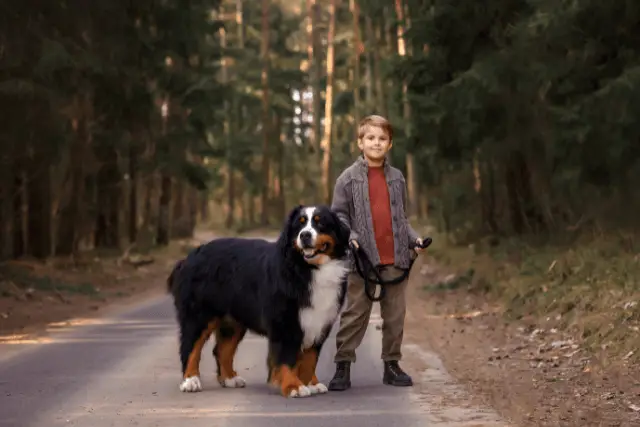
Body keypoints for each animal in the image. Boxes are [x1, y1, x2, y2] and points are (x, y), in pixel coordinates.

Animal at [166, 206, 350, 400]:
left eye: (320, 223)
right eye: (299, 225)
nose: (305, 235)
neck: (308, 268)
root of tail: (190, 256)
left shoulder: (318, 321)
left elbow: (310, 357)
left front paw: (310, 383)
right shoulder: (286, 323)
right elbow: (287, 357)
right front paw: (293, 386)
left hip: (233, 321)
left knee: (222, 349)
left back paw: (230, 378)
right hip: (199, 315)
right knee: (190, 347)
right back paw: (190, 381)